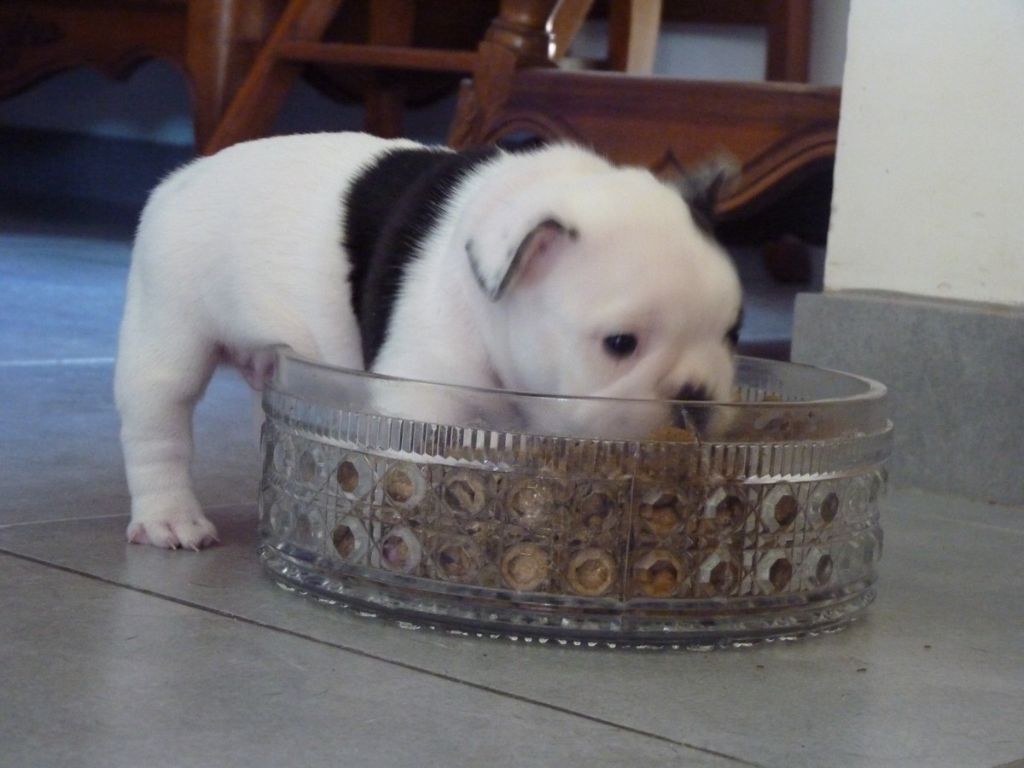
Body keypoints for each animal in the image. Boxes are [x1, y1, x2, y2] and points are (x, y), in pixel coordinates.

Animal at [114, 132, 743, 550]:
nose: (695, 394)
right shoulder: (423, 397)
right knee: (158, 429)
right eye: (619, 343)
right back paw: (170, 517)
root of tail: (183, 176)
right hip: (168, 333)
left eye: (734, 332)